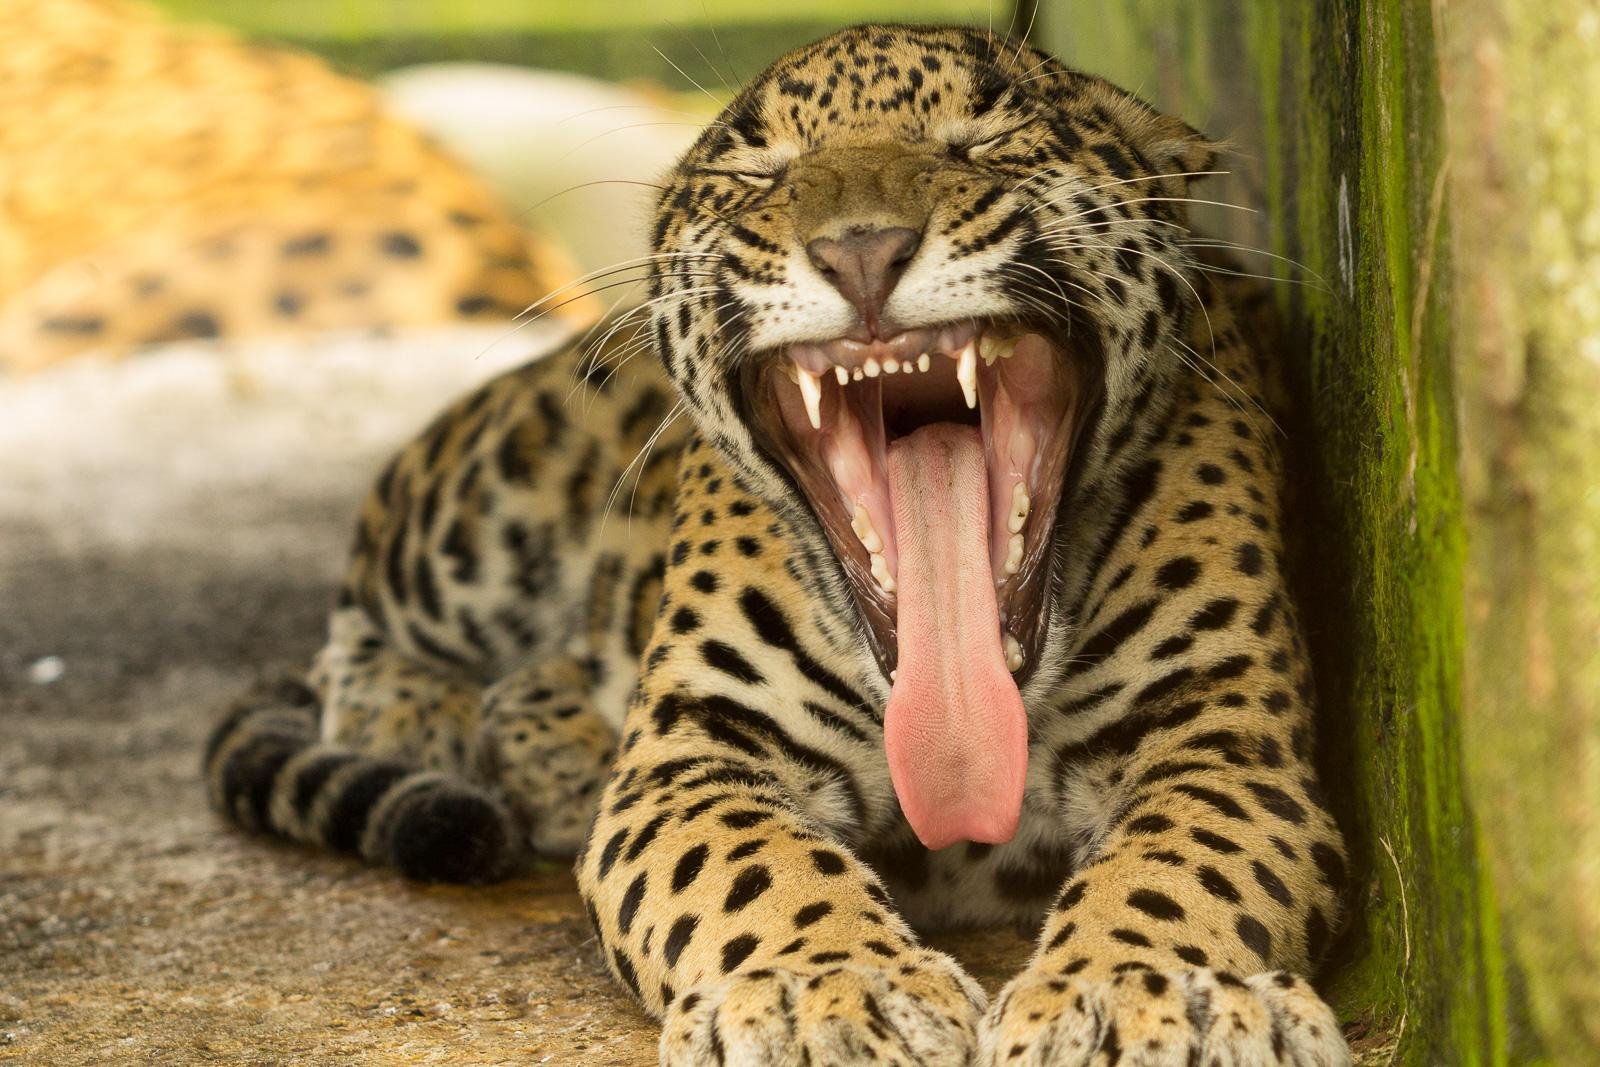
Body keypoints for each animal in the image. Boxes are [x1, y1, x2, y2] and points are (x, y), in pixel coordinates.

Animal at [204, 24, 1353, 1066]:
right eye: (759, 172)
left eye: (985, 140)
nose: (861, 250)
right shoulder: (697, 754)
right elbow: (760, 866)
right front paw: (827, 990)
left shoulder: (1224, 741)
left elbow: (1175, 866)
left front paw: (1153, 993)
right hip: (490, 492)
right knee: (357, 606)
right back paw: (412, 712)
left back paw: (550, 743)